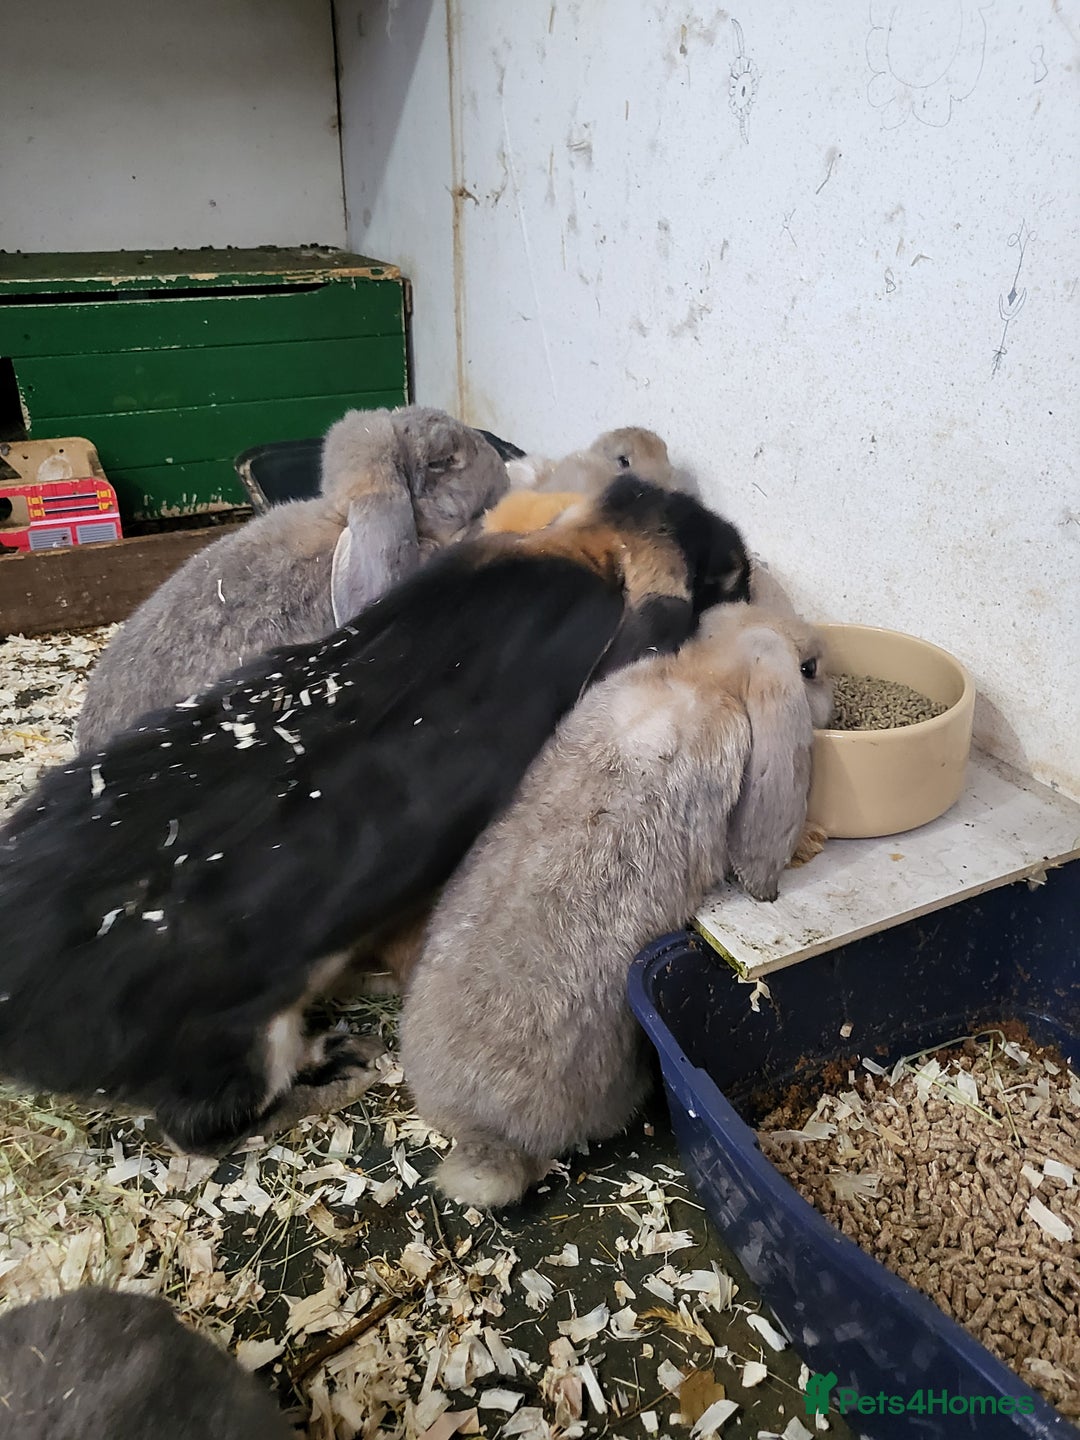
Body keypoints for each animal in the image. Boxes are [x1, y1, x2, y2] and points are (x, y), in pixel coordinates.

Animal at [0, 476, 751, 1155]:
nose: (746, 574)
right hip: (230, 1048)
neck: (577, 550)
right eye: (722, 573)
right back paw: (350, 1066)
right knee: (205, 1131)